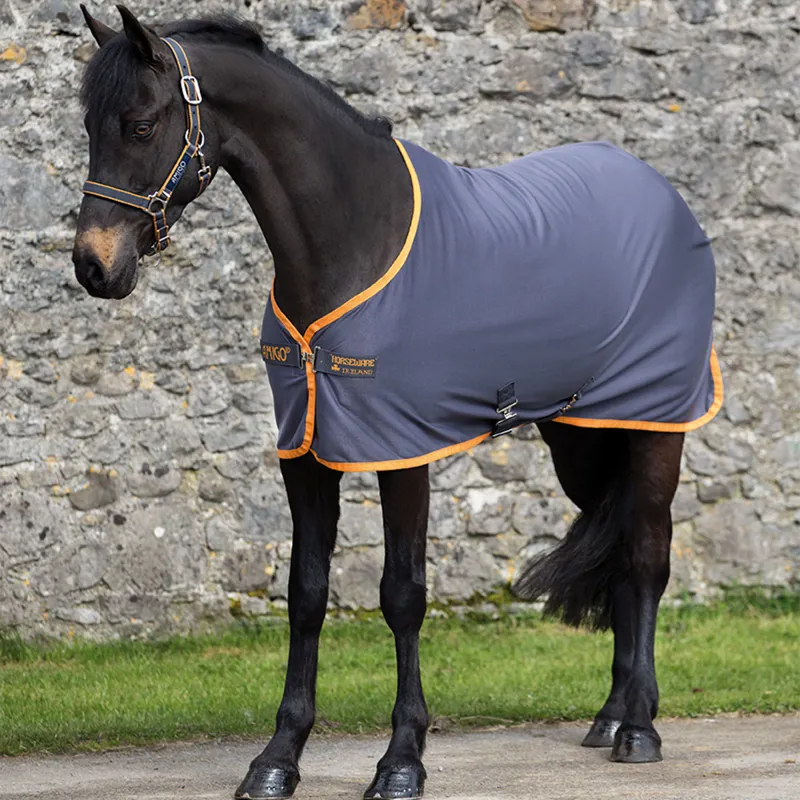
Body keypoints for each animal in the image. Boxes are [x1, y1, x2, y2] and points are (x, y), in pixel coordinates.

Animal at [72, 7, 723, 799]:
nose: (93, 266)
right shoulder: (305, 453)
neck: (355, 241)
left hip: (658, 425)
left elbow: (403, 595)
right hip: (584, 434)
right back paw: (610, 716)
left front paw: (402, 760)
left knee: (647, 556)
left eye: (140, 125)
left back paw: (640, 730)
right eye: (88, 126)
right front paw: (277, 759)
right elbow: (307, 593)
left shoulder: (403, 449)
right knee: (622, 543)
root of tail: (662, 195)